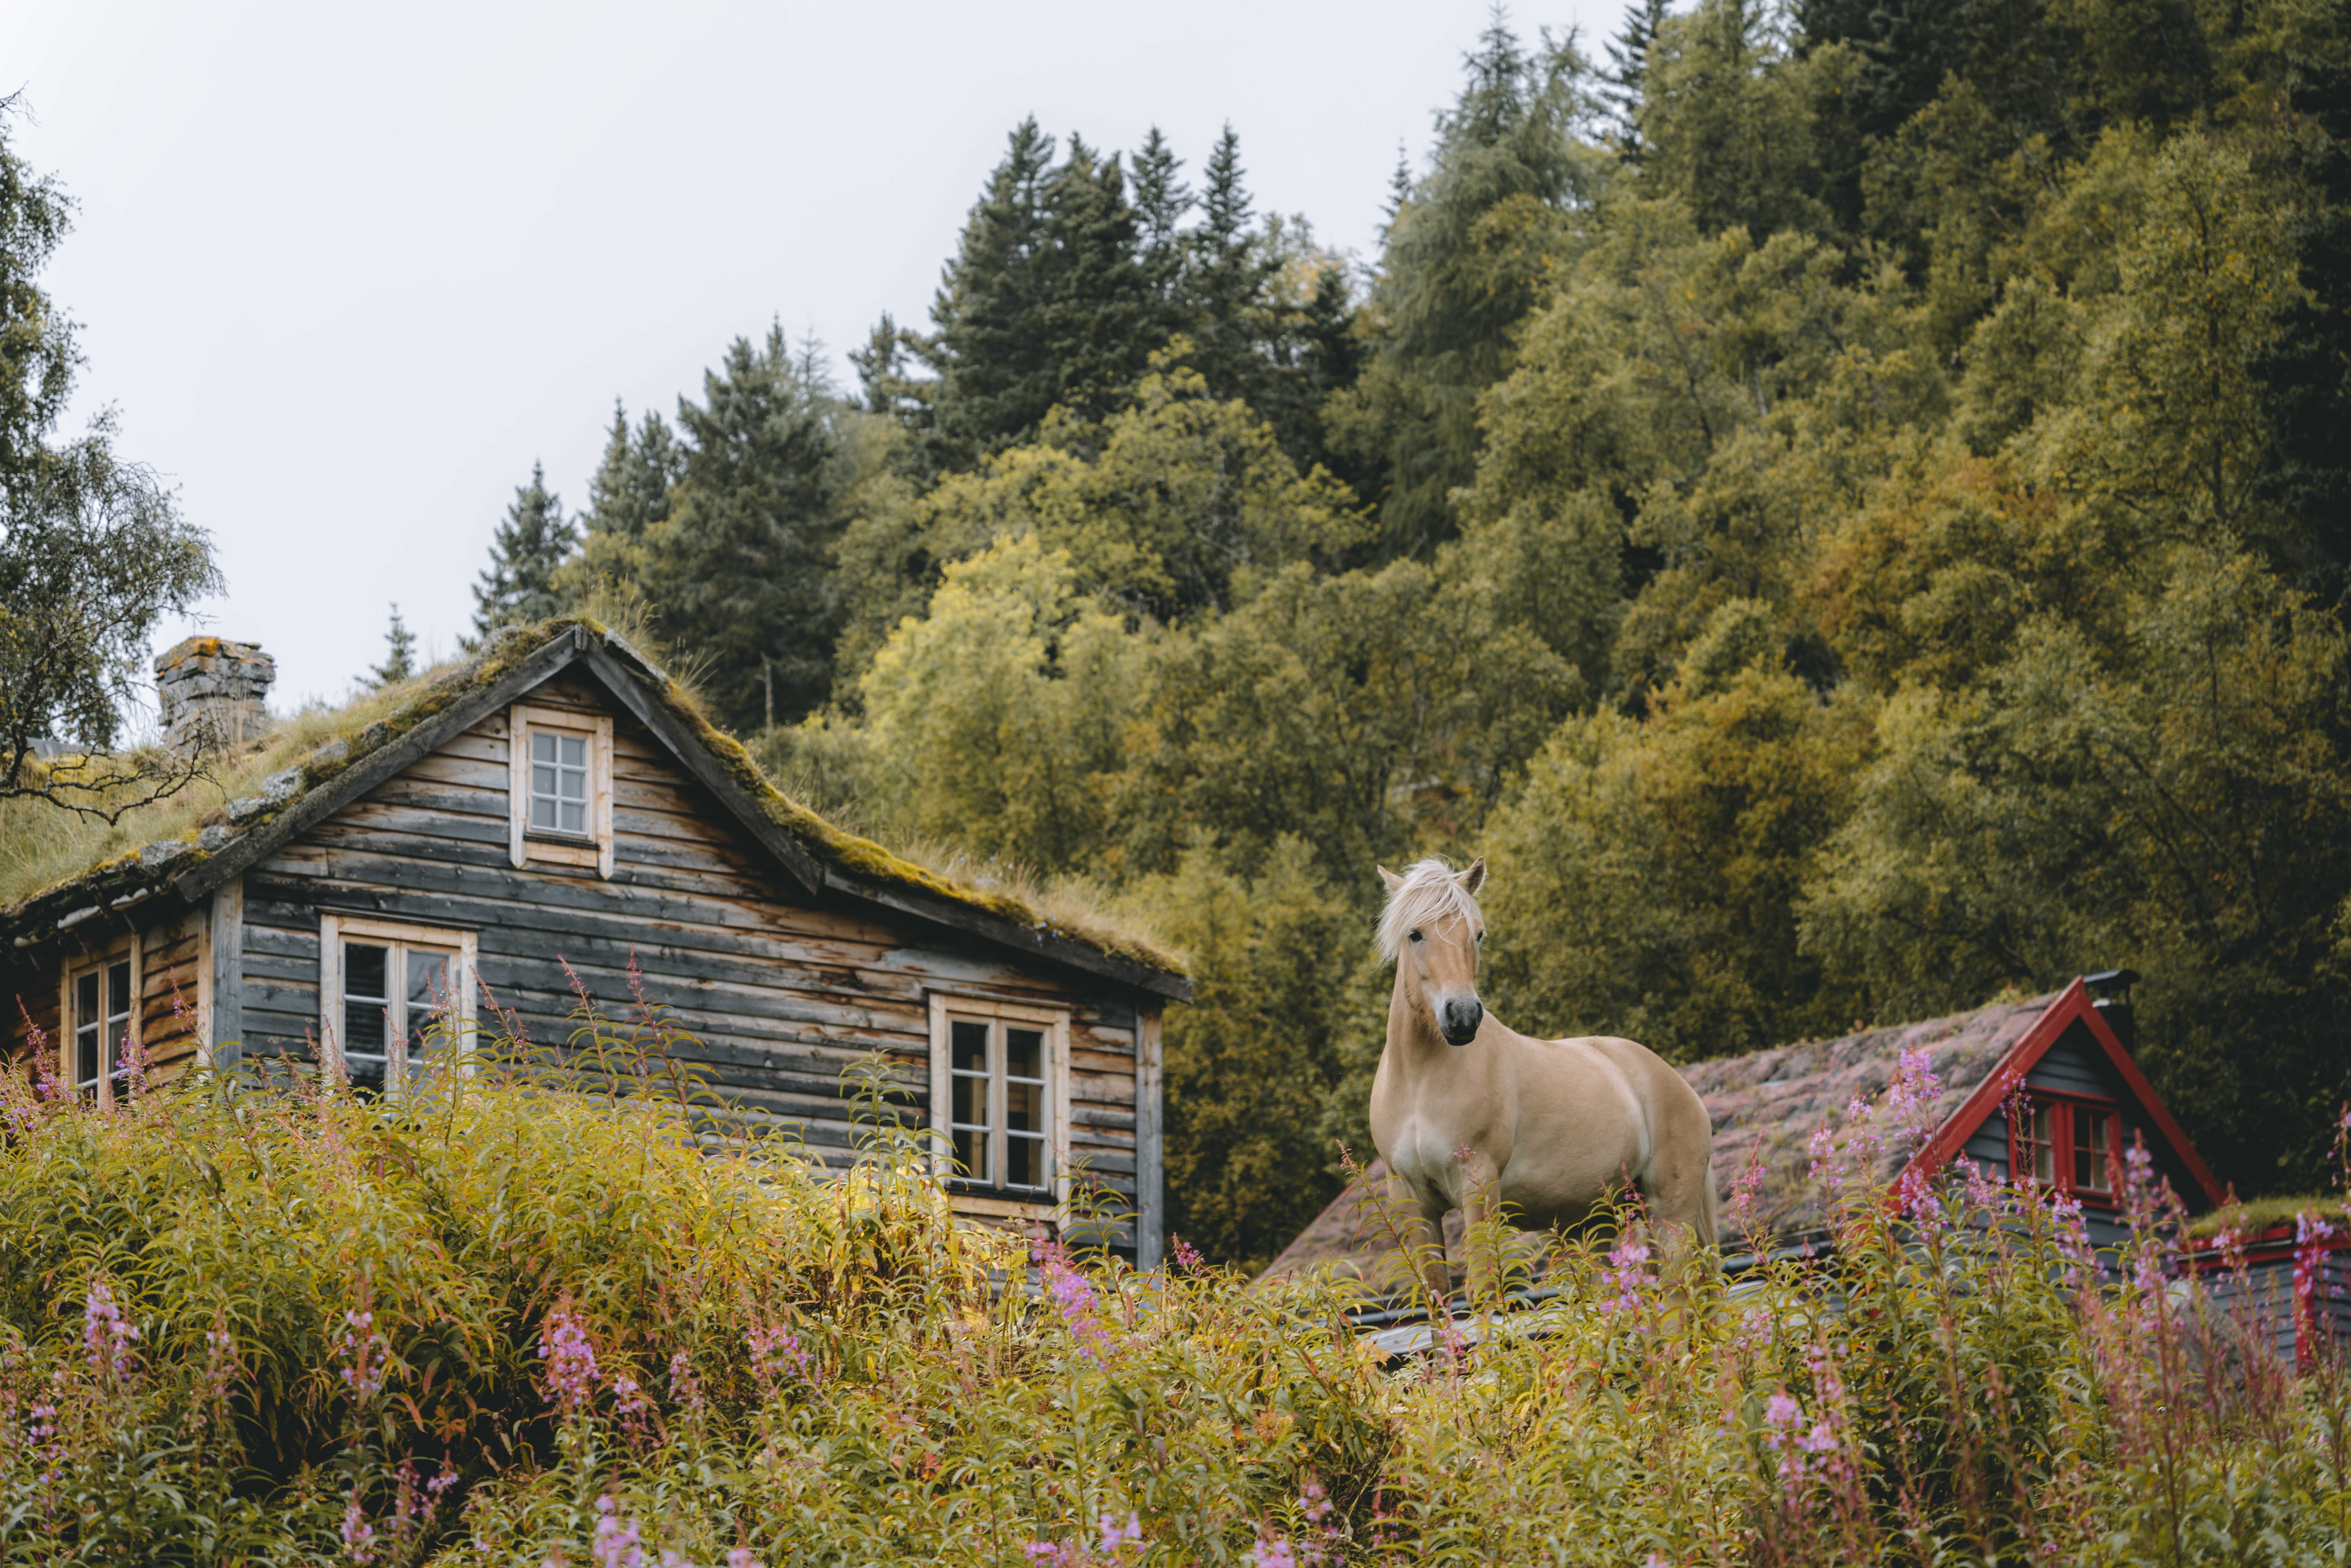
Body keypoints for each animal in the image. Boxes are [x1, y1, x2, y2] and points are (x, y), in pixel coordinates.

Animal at [1368, 856, 1718, 1304]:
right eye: (1416, 934)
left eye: (1477, 934)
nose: (1462, 1017)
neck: (1420, 1082)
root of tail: (1676, 1083)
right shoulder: (1412, 1202)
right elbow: (1437, 1302)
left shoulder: (1478, 1188)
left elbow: (1484, 1294)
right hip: (1601, 1221)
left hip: (1670, 1216)